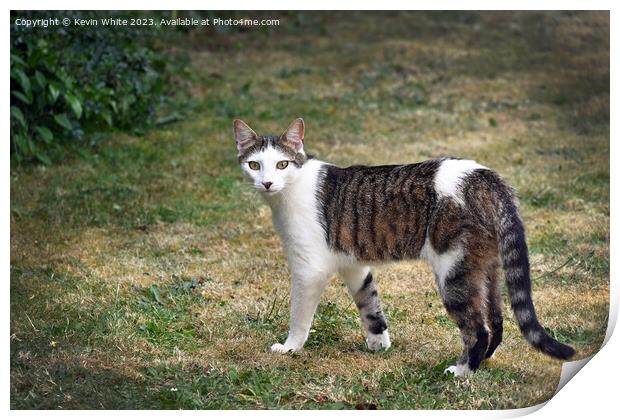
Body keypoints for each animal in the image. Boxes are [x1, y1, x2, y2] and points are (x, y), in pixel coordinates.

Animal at [232, 116, 576, 376]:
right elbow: (369, 303)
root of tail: (483, 176)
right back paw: (481, 363)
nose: (266, 182)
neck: (291, 189)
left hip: (454, 271)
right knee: (496, 320)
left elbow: (299, 316)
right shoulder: (353, 264)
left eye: (282, 164)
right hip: (483, 265)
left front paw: (290, 348)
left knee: (477, 328)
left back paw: (462, 371)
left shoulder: (309, 269)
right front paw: (378, 343)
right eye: (254, 165)